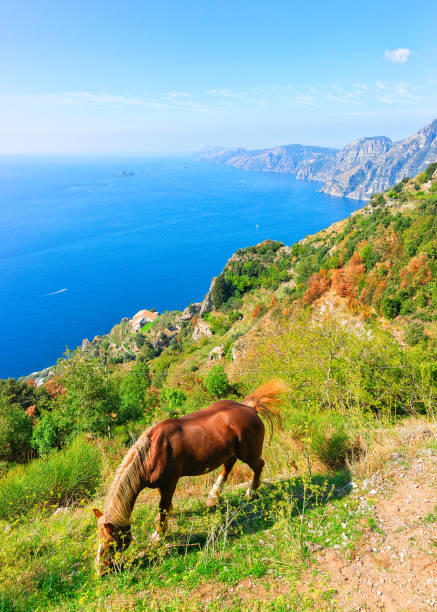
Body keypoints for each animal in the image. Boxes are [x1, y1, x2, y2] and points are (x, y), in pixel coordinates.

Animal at [91, 378, 286, 572]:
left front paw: (158, 535)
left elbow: (163, 507)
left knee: (258, 466)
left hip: (248, 454)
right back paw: (213, 496)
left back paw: (251, 492)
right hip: (230, 453)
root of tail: (250, 407)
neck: (152, 452)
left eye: (110, 543)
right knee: (228, 467)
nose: (100, 571)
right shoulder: (163, 485)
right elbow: (165, 506)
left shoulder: (169, 483)